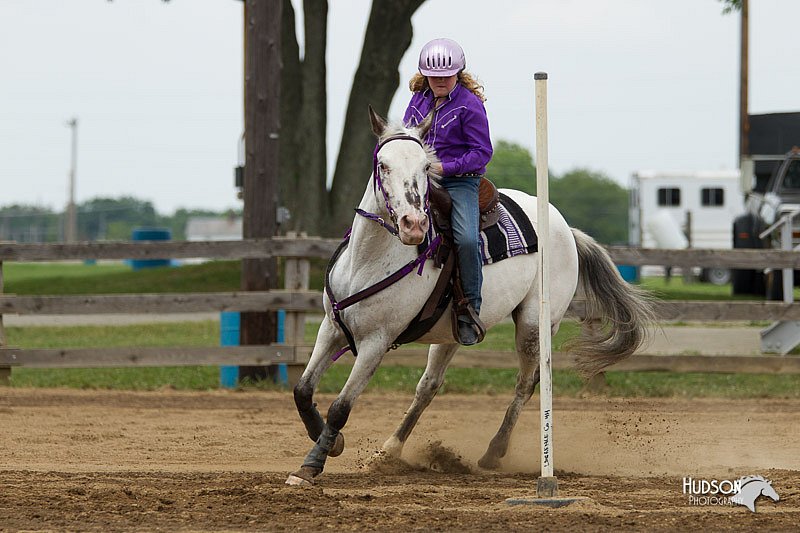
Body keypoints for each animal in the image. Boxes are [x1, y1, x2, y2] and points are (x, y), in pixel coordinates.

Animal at [284, 106, 652, 484]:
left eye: (425, 167)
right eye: (383, 164)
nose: (413, 225)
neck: (368, 261)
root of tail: (566, 228)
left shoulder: (377, 341)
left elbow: (341, 406)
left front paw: (311, 465)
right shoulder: (331, 328)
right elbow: (302, 390)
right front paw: (332, 442)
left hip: (535, 325)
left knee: (527, 382)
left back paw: (494, 452)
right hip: (451, 333)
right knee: (428, 385)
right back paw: (389, 450)